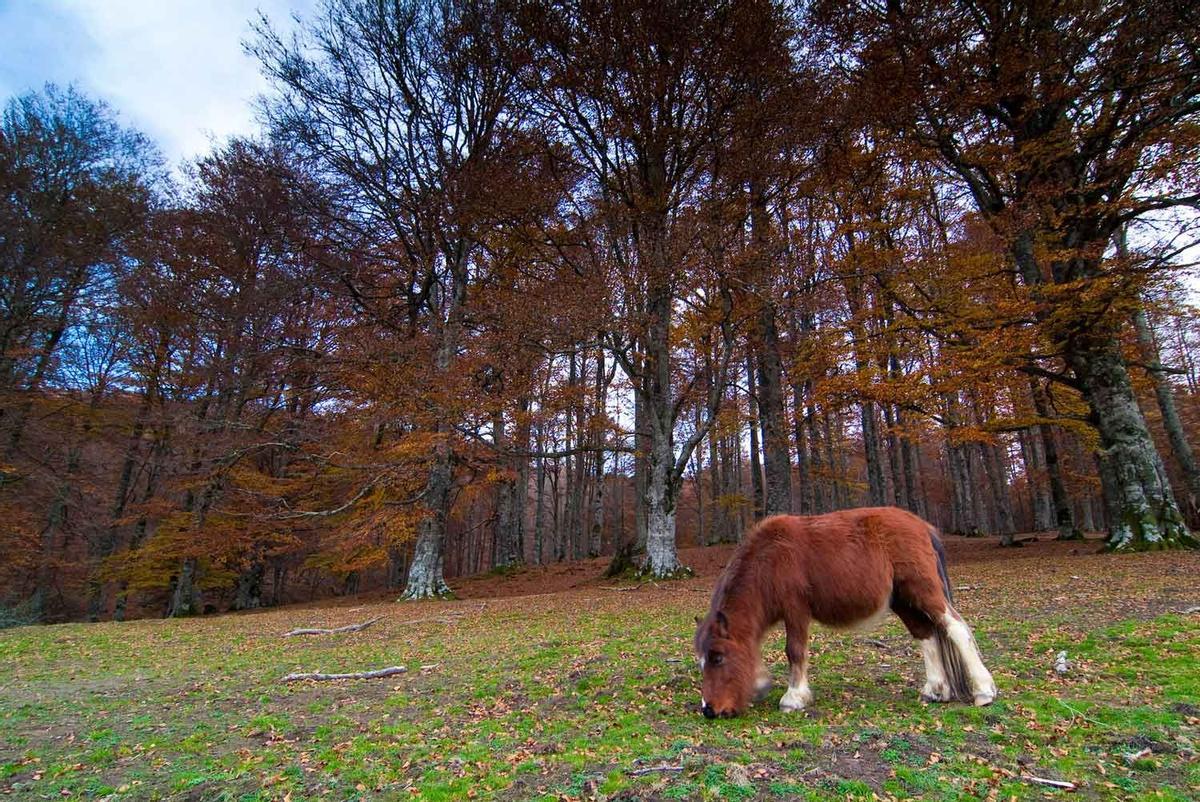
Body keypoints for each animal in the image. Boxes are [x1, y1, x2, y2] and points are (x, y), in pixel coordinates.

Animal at [696, 506, 993, 720]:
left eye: (718, 658)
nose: (709, 710)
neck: (771, 558)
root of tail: (923, 526)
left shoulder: (796, 610)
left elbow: (794, 650)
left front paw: (794, 698)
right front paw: (759, 685)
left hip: (923, 590)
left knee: (955, 627)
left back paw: (984, 691)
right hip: (903, 601)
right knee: (926, 635)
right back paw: (935, 691)